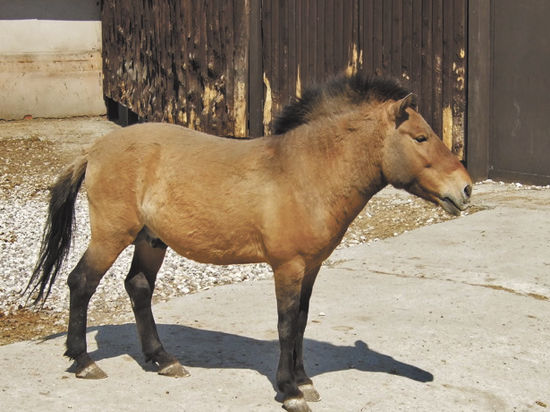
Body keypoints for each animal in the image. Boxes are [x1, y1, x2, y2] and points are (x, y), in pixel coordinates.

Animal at [27, 75, 474, 412]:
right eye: (420, 137)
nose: (466, 189)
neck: (306, 172)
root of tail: (94, 149)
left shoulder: (311, 267)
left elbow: (301, 321)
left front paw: (304, 380)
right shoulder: (288, 266)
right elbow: (286, 324)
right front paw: (290, 391)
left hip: (151, 240)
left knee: (138, 286)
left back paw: (163, 359)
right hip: (112, 235)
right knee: (81, 283)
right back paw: (82, 361)